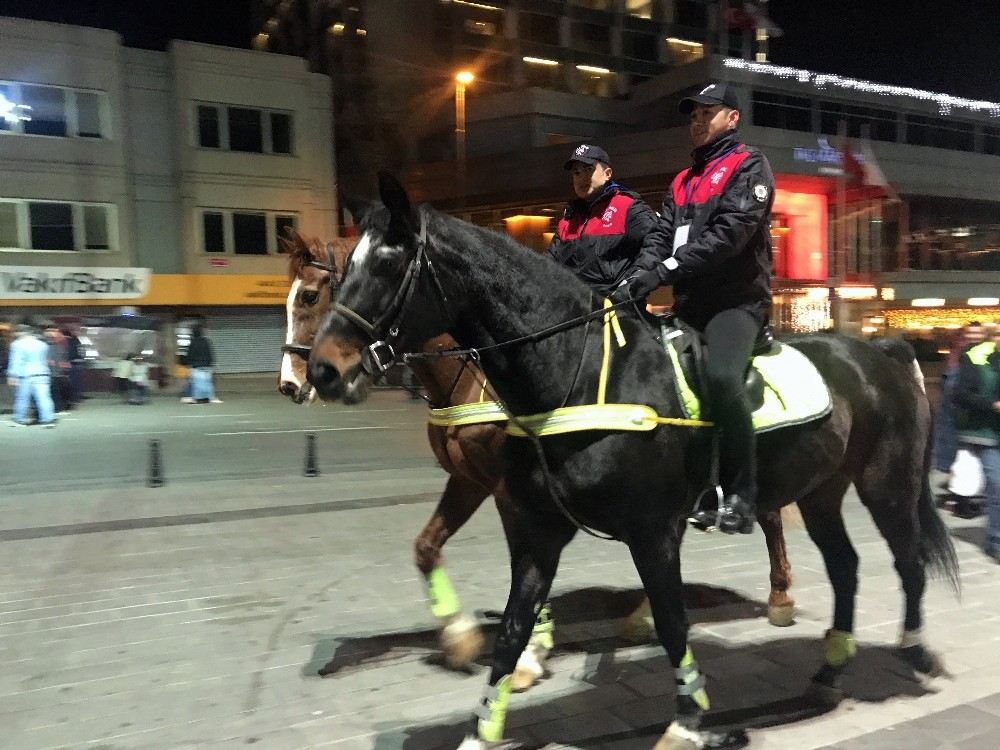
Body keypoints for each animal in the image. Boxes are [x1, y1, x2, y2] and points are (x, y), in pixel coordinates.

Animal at [274, 232, 796, 692]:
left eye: (310, 296)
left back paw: (780, 594)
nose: (293, 382)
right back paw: (648, 613)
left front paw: (527, 651)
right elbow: (427, 548)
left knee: (768, 514)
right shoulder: (469, 481)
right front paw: (461, 639)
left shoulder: (509, 491)